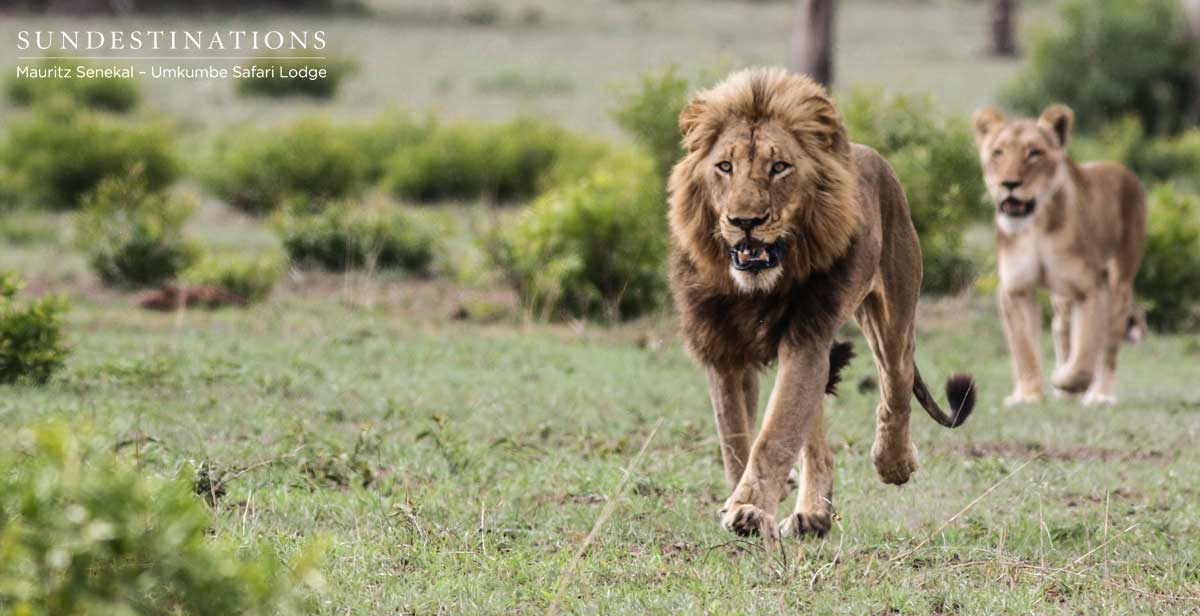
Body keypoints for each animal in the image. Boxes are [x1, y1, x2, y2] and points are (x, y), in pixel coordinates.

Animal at [668, 67, 976, 539]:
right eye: (725, 167)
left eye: (779, 167)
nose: (745, 222)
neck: (756, 288)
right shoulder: (723, 350)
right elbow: (737, 439)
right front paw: (747, 498)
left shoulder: (806, 337)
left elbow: (775, 432)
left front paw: (748, 509)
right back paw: (812, 514)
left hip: (891, 312)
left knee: (897, 379)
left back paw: (894, 463)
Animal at [972, 105, 1146, 407]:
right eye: (998, 152)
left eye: (1034, 153)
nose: (1009, 184)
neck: (1036, 225)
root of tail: (1124, 171)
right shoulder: (1015, 289)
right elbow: (1024, 349)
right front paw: (1028, 396)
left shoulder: (1090, 289)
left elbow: (1085, 353)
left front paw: (1066, 379)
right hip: (1062, 300)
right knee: (1062, 331)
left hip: (1118, 283)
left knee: (1107, 345)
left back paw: (1099, 395)